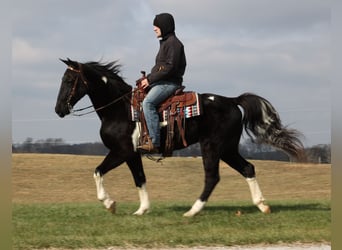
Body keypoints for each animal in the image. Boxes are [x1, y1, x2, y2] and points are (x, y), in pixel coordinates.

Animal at [54, 58, 306, 217]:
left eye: (69, 81)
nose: (59, 110)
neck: (120, 109)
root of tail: (232, 101)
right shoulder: (132, 155)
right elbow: (140, 179)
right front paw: (142, 210)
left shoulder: (121, 152)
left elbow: (98, 171)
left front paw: (110, 204)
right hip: (227, 149)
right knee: (248, 168)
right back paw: (262, 206)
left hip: (212, 147)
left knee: (212, 177)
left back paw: (193, 211)